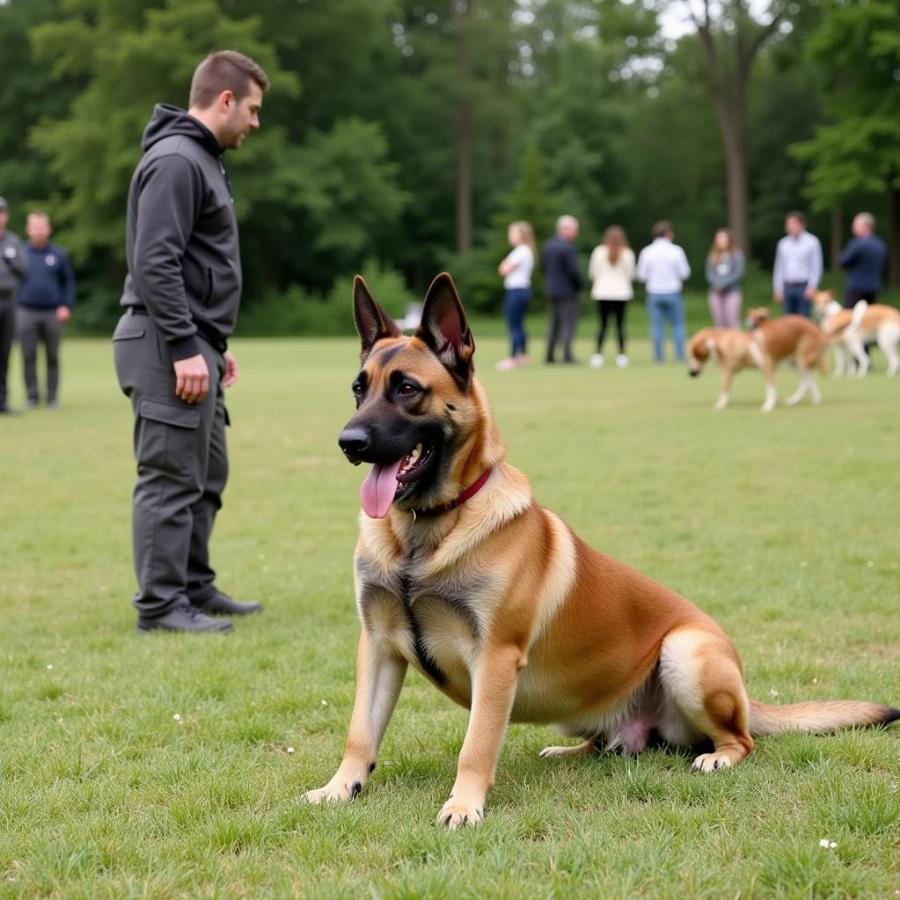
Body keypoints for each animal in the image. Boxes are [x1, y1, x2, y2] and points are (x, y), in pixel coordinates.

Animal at [688, 306, 828, 412]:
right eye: (689, 357)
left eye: (695, 356)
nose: (691, 373)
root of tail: (817, 329)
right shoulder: (741, 370)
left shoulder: (766, 367)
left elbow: (769, 388)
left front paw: (768, 406)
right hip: (794, 363)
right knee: (807, 381)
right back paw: (803, 400)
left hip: (801, 360)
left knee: (806, 381)